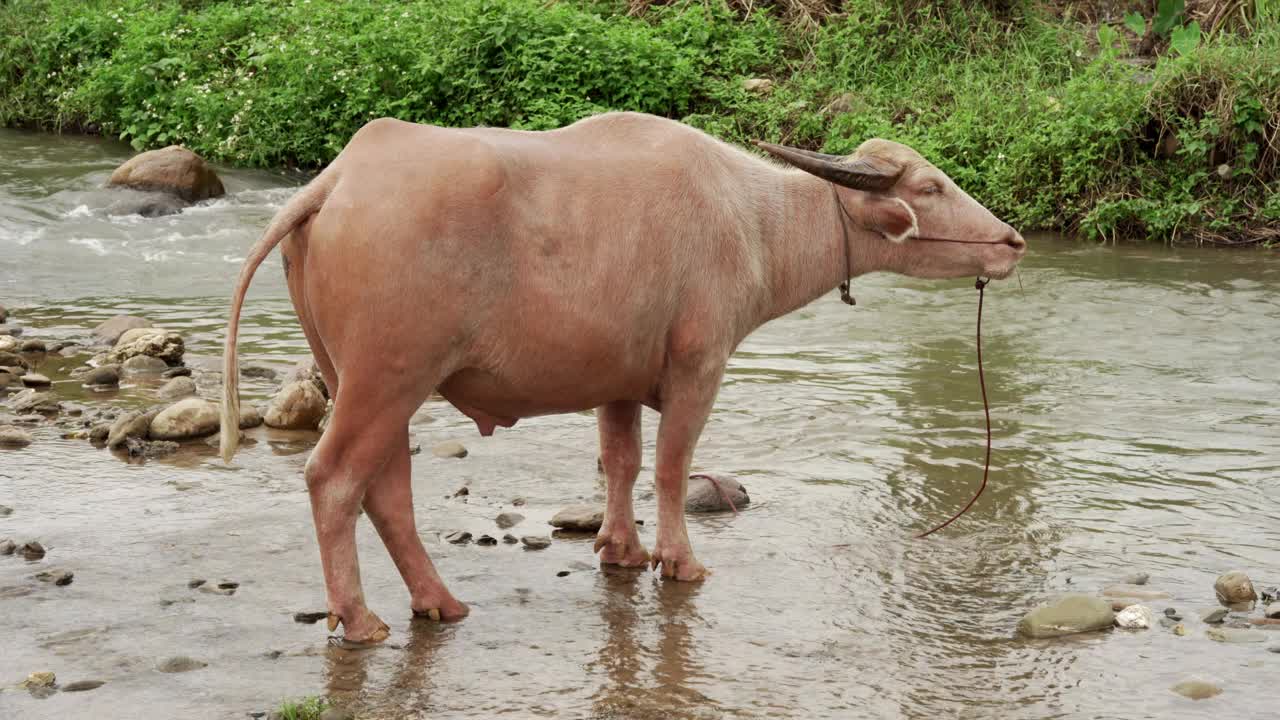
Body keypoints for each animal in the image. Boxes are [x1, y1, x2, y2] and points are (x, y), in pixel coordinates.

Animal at [217, 110, 1018, 638]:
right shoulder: (699, 365)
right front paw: (679, 561)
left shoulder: (619, 381)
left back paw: (437, 601)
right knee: (335, 479)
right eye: (934, 186)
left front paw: (622, 550)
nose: (1011, 241)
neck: (752, 219)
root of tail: (338, 178)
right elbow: (670, 466)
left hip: (361, 376)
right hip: (389, 376)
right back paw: (358, 618)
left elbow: (621, 460)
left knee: (386, 489)